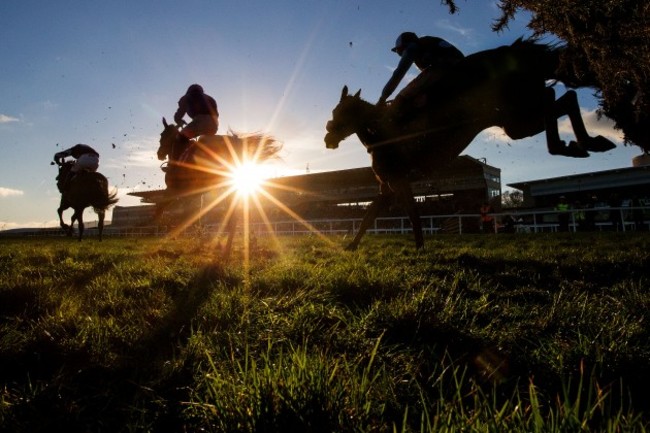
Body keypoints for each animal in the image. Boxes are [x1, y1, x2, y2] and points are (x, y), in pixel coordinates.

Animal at [156, 116, 280, 255]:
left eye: (162, 135)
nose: (159, 153)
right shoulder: (195, 194)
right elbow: (196, 216)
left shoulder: (174, 190)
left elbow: (163, 207)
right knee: (236, 214)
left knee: (233, 216)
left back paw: (227, 250)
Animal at [326, 40, 616, 251]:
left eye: (341, 113)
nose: (328, 139)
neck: (383, 135)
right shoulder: (387, 186)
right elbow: (369, 216)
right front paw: (352, 245)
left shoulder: (399, 181)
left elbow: (411, 214)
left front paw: (419, 247)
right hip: (517, 118)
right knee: (563, 97)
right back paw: (588, 142)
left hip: (517, 117)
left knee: (555, 98)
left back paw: (573, 144)